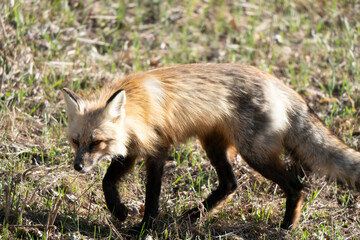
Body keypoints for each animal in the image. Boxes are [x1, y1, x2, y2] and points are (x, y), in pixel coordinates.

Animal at [62, 63, 360, 232]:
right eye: (76, 141)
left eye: (96, 142)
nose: (78, 167)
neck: (138, 105)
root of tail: (280, 85)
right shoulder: (132, 149)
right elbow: (107, 182)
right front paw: (119, 211)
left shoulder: (157, 148)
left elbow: (152, 196)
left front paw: (145, 227)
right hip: (214, 147)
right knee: (230, 184)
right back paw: (195, 215)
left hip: (255, 155)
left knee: (297, 186)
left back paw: (287, 226)